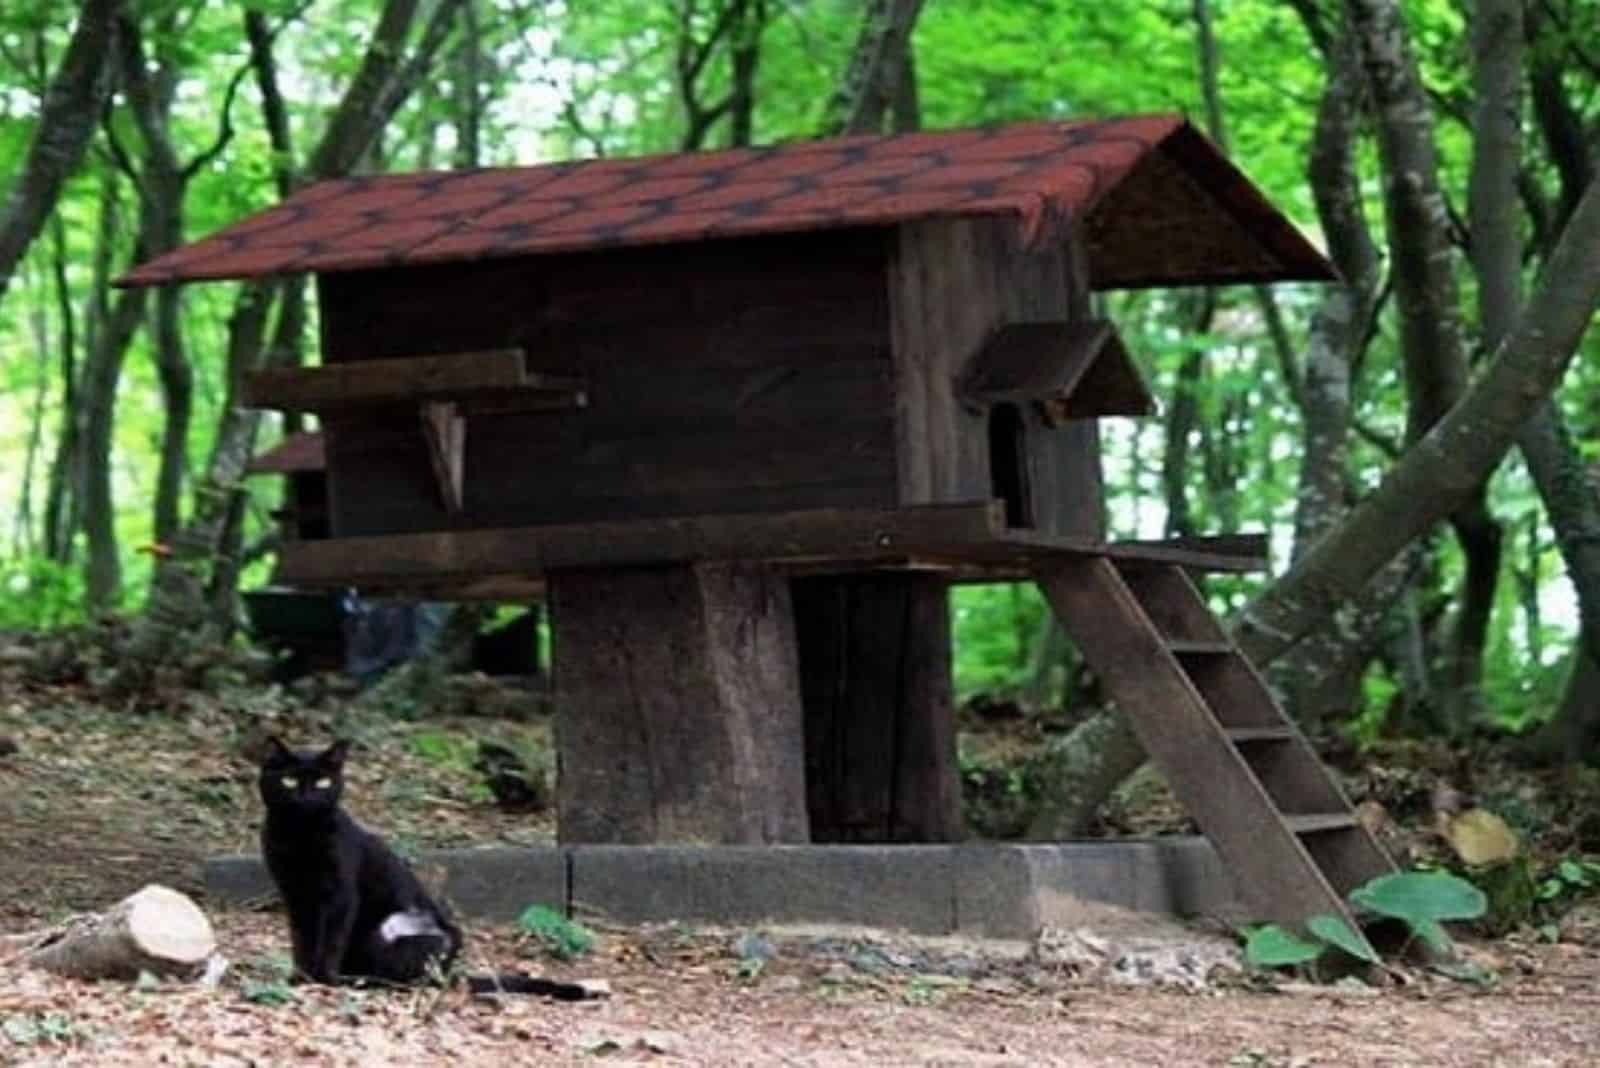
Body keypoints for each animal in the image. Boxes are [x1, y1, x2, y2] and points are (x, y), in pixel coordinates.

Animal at [256, 738, 588, 997]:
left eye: (322, 782)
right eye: (289, 781)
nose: (307, 795)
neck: (299, 835)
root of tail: (448, 974)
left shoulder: (340, 895)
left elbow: (331, 938)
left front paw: (322, 979)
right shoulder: (294, 895)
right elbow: (301, 937)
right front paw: (299, 977)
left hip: (402, 929)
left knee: (405, 979)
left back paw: (360, 981)